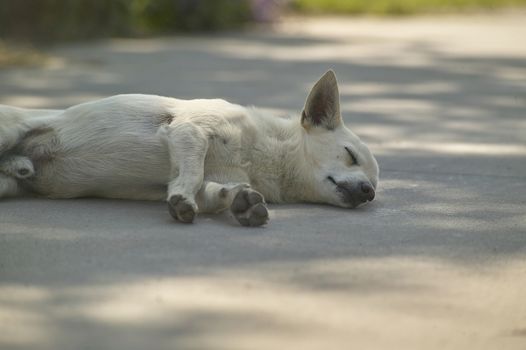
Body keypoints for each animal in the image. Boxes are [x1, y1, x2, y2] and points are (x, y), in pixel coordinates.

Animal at [0, 70, 380, 227]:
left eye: (376, 186)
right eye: (350, 155)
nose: (369, 192)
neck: (263, 156)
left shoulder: (209, 173)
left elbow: (213, 193)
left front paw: (239, 202)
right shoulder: (188, 130)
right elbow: (193, 172)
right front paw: (182, 197)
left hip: (9, 185)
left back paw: (18, 165)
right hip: (8, 132)